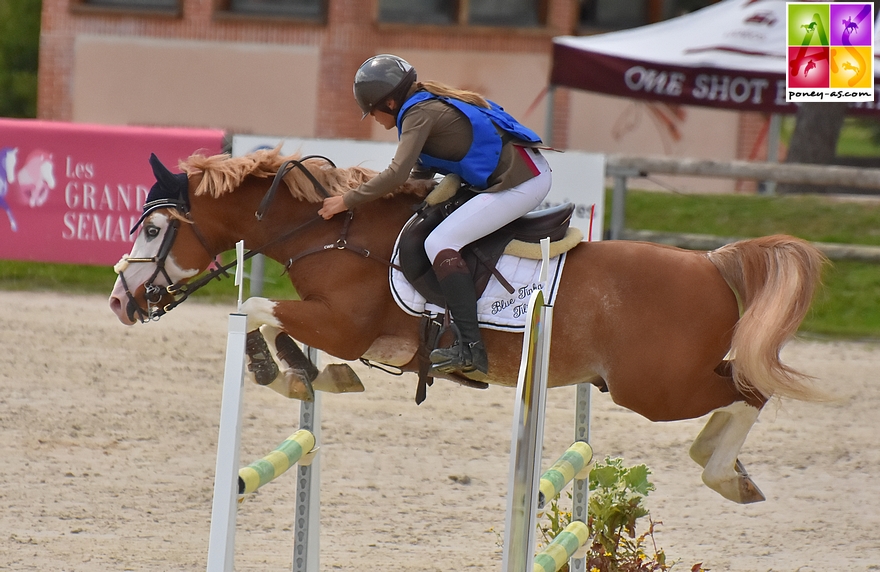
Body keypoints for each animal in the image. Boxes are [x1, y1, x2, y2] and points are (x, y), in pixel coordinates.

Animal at [106, 147, 828, 504]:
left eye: (153, 229)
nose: (119, 301)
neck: (328, 232)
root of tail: (712, 263)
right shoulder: (337, 324)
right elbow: (284, 330)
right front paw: (312, 377)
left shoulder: (346, 325)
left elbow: (259, 311)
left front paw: (277, 370)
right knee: (738, 390)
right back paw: (720, 461)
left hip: (653, 390)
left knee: (749, 390)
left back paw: (722, 472)